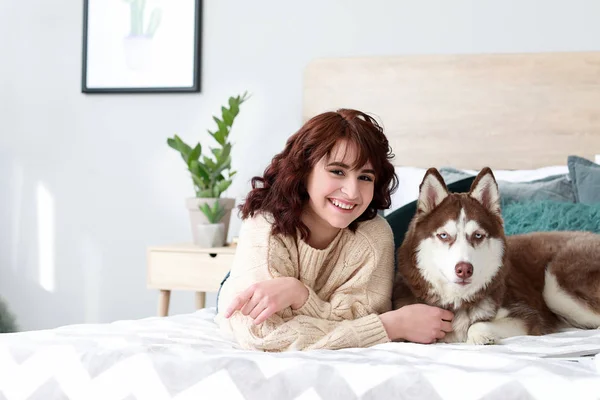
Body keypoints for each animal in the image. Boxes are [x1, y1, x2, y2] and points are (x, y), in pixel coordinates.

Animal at [392, 167, 600, 346]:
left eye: (478, 235)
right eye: (444, 235)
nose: (464, 270)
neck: (460, 300)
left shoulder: (528, 317)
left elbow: (477, 324)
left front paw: (481, 336)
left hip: (555, 286)